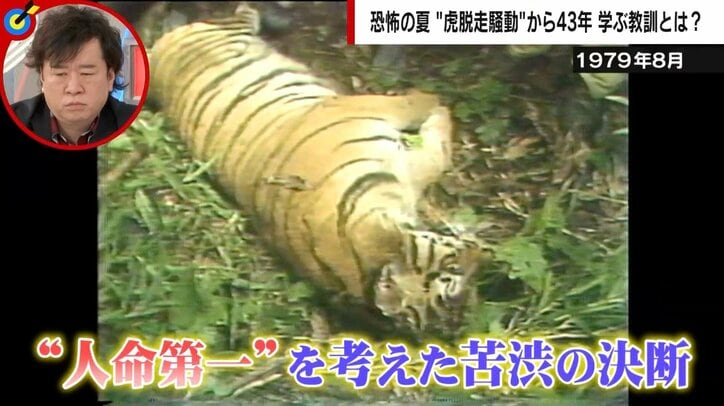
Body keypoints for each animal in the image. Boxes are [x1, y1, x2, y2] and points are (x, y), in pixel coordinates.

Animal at [148, 3, 484, 337]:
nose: (480, 253)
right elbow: (432, 126)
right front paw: (441, 105)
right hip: (226, 32)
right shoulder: (383, 119)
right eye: (452, 270)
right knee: (238, 15)